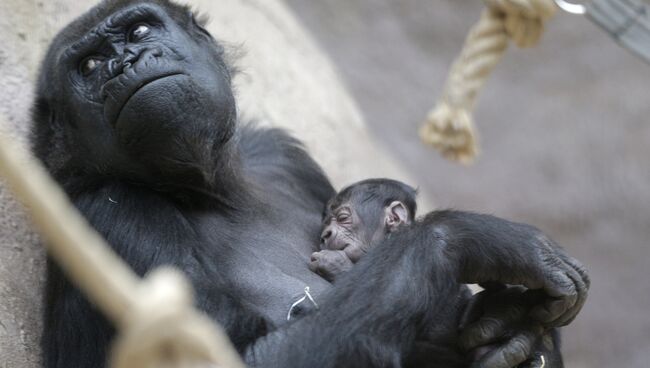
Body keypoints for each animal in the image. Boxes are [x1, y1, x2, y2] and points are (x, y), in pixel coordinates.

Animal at [31, 0, 588, 368]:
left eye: (141, 28)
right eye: (89, 65)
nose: (123, 65)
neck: (216, 191)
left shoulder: (281, 154)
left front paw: (512, 327)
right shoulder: (112, 213)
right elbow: (231, 353)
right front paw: (473, 237)